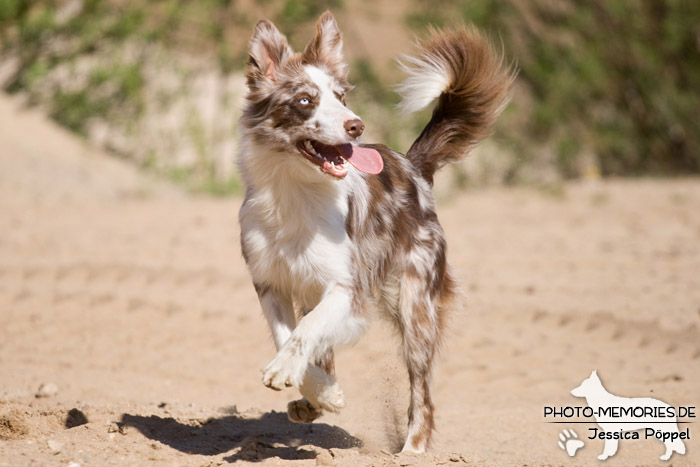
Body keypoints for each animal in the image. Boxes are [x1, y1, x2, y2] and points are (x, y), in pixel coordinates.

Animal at [238, 11, 512, 454]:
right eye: (305, 100)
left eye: (341, 97)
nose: (356, 126)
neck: (295, 193)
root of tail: (413, 166)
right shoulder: (270, 283)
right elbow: (287, 336)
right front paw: (323, 392)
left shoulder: (347, 287)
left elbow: (305, 333)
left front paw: (300, 380)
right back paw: (312, 403)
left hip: (416, 308)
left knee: (422, 393)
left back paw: (412, 450)